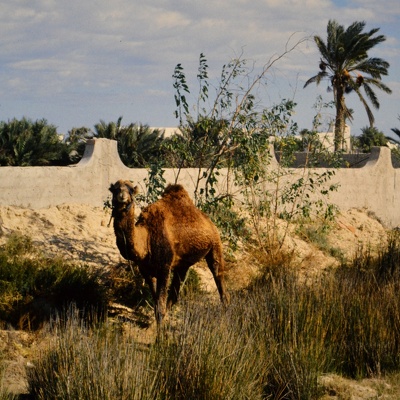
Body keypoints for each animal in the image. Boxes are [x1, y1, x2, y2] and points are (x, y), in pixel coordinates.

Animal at [109, 180, 230, 324]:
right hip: (183, 264)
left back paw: (225, 313)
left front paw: (160, 329)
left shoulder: (164, 267)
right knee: (175, 291)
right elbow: (157, 302)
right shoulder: (145, 270)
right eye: (115, 189)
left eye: (131, 190)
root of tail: (210, 222)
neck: (146, 238)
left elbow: (160, 304)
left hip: (215, 245)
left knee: (218, 275)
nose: (122, 196)